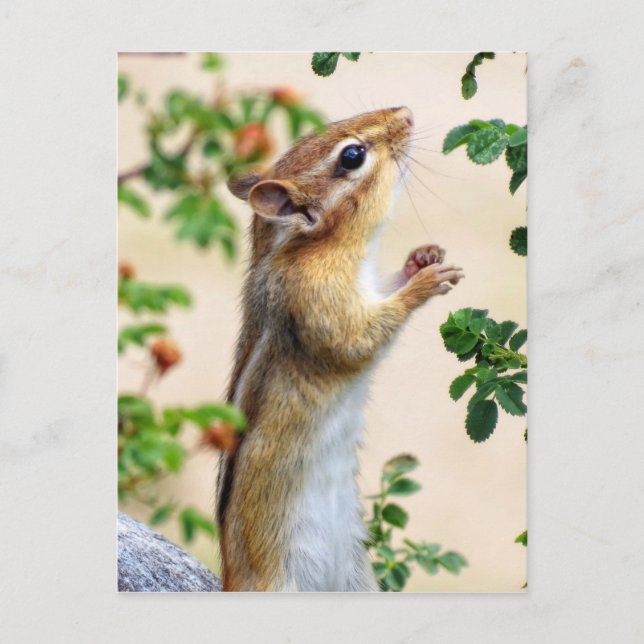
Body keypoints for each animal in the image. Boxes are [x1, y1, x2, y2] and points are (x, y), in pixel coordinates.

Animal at [217, 107, 464, 591]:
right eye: (352, 156)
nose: (406, 113)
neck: (305, 246)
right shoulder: (319, 301)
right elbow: (357, 340)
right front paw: (425, 282)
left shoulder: (367, 288)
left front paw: (421, 259)